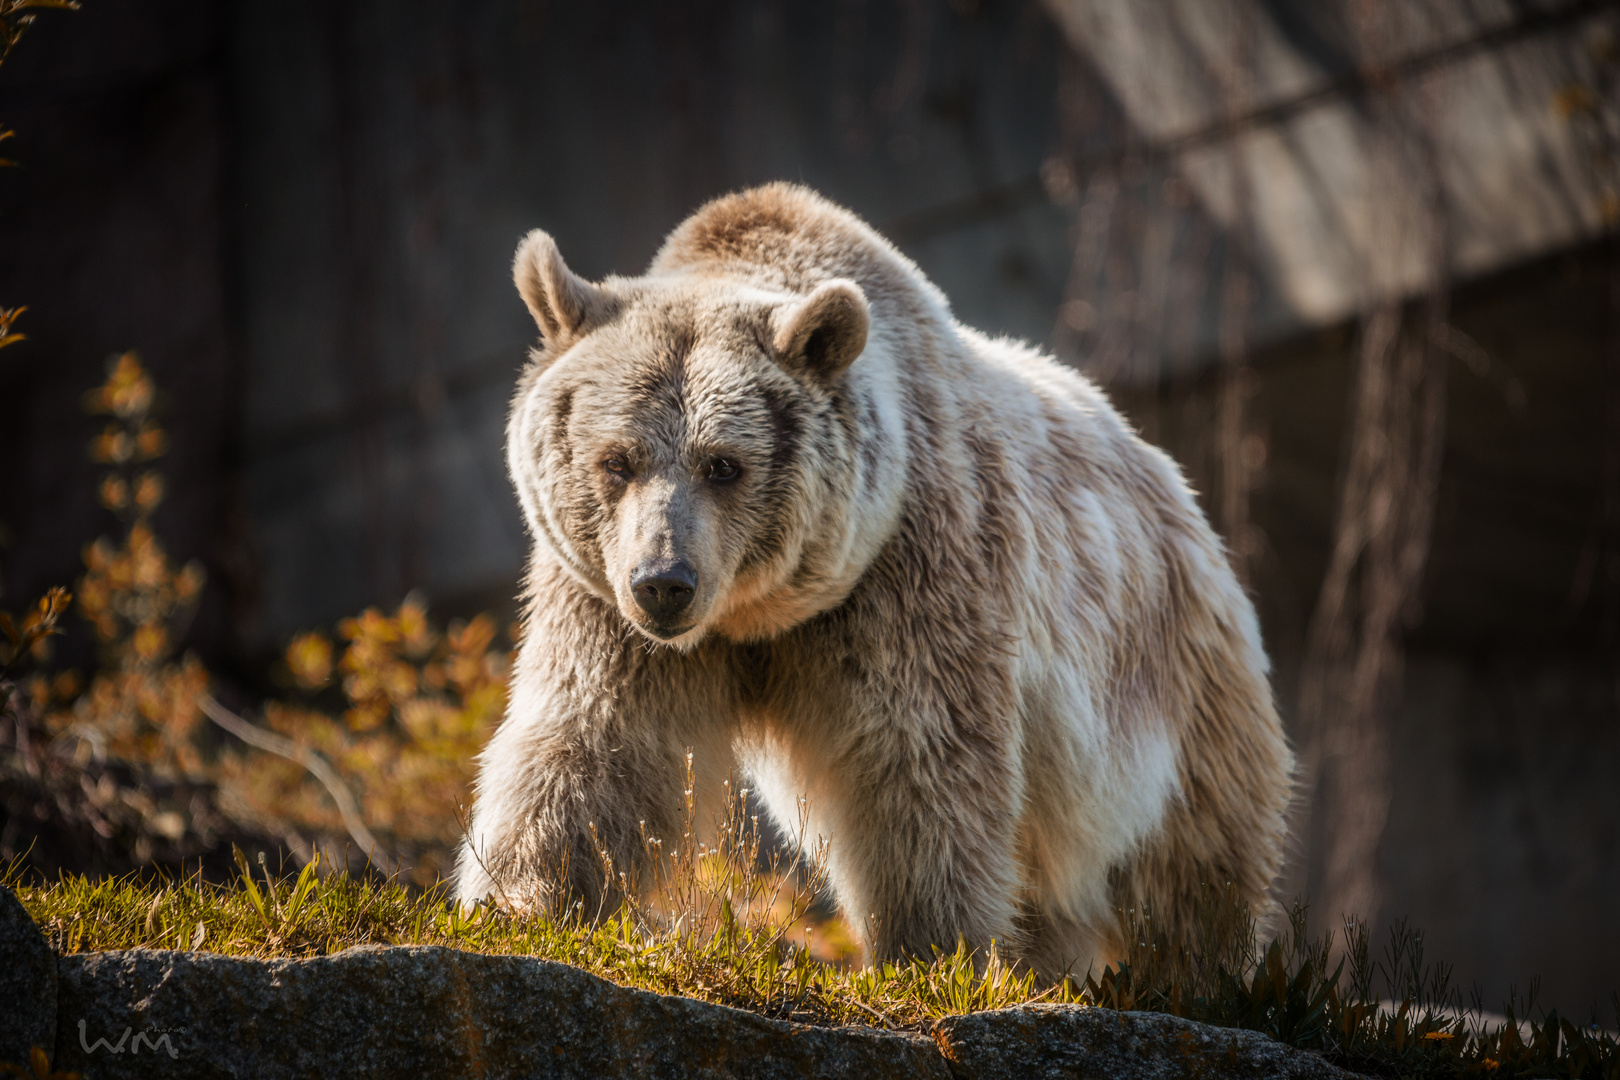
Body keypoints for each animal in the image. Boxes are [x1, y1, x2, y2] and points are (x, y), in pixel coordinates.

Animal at [456, 181, 1289, 977]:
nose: (665, 582)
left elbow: (917, 764)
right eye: (617, 460)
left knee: (1191, 856)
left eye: (724, 463)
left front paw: (928, 950)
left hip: (1166, 684)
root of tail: (1175, 486)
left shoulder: (909, 571)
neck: (761, 612)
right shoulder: (605, 603)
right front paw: (519, 904)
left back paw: (1203, 972)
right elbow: (594, 742)